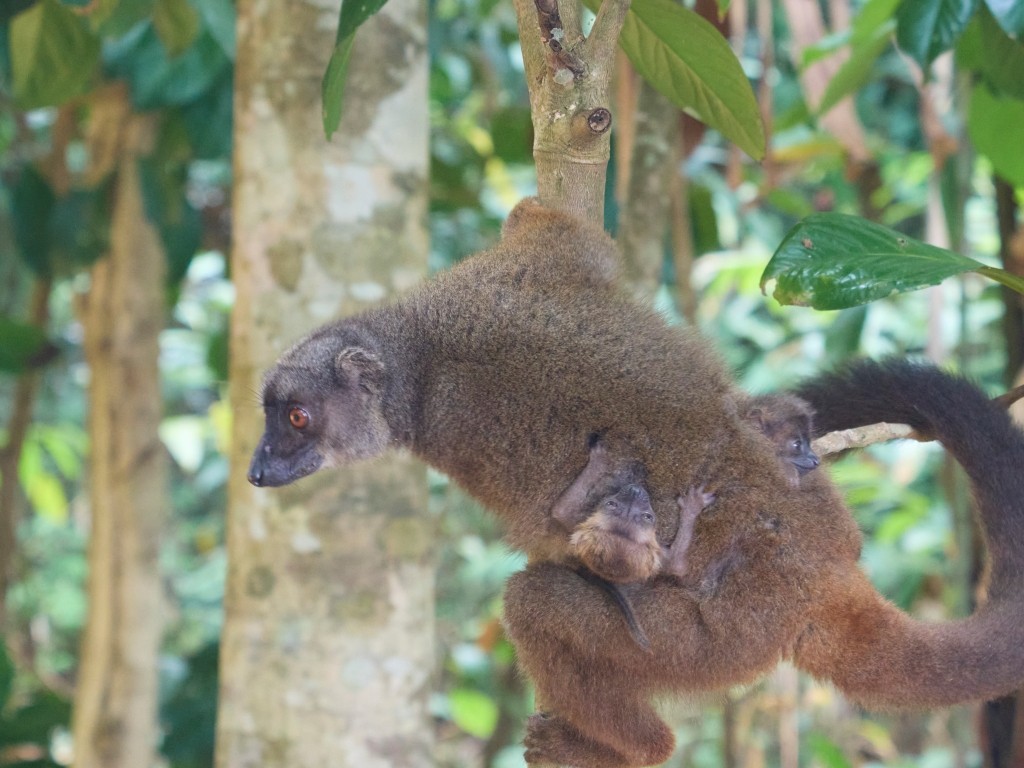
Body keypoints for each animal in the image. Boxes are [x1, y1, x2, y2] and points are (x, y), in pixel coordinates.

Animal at [248, 200, 1024, 768]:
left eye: (298, 417)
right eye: (267, 414)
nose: (258, 468)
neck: (419, 352)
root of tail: (817, 575)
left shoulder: (455, 404)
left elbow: (548, 524)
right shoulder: (515, 271)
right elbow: (570, 237)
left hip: (712, 643)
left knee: (536, 602)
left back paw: (634, 746)